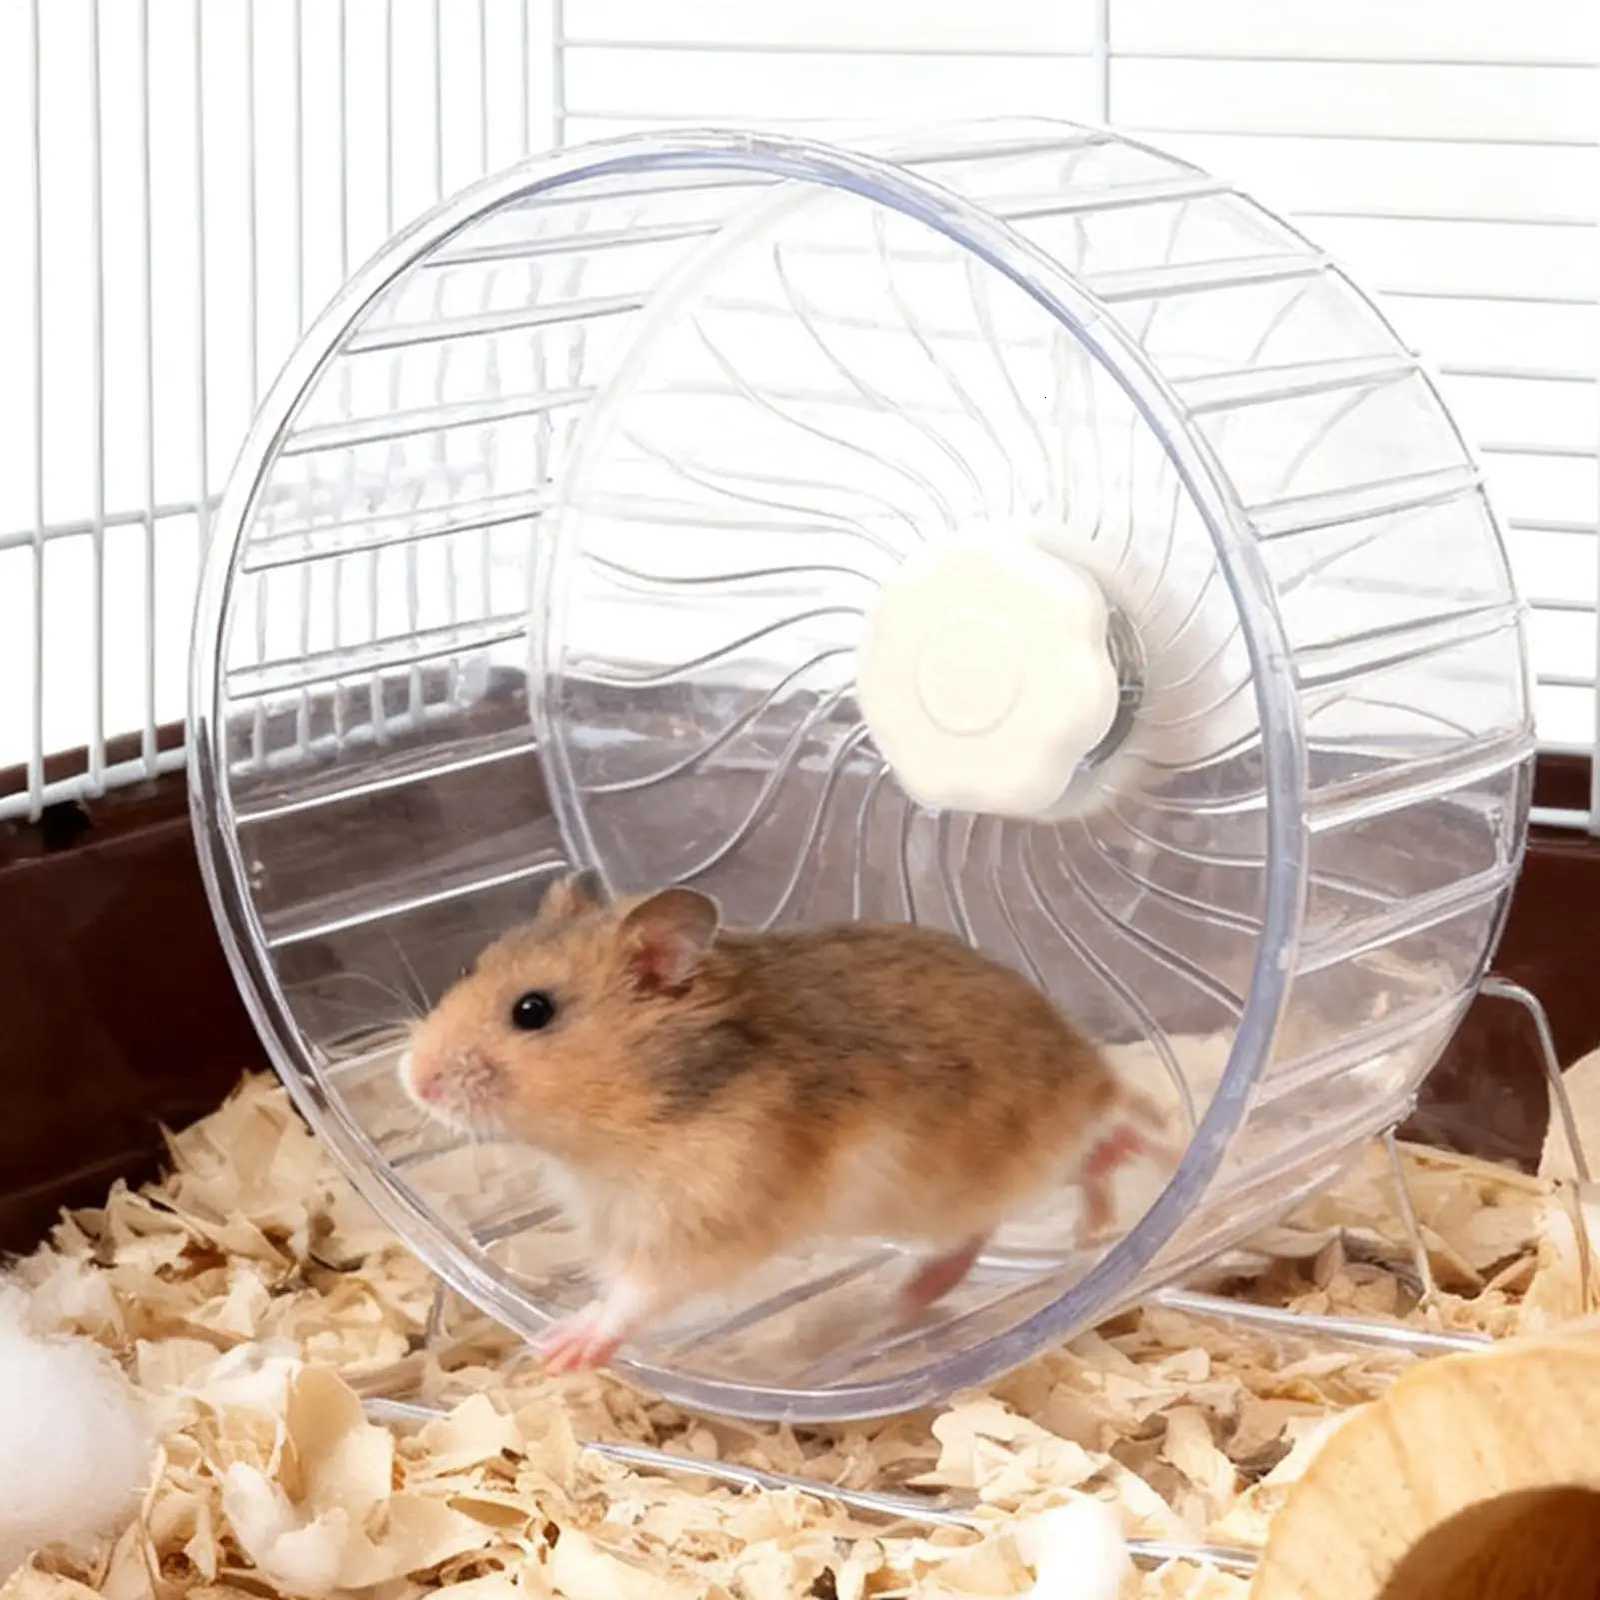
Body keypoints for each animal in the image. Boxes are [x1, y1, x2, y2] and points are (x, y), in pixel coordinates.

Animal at [401, 871, 1172, 1373]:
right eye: (470, 966)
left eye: (532, 1011)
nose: (413, 1079)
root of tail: (1093, 1066)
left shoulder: (705, 1216)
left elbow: (634, 1294)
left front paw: (558, 1346)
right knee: (992, 1225)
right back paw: (918, 1293)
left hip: (1022, 1153)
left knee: (1102, 1146)